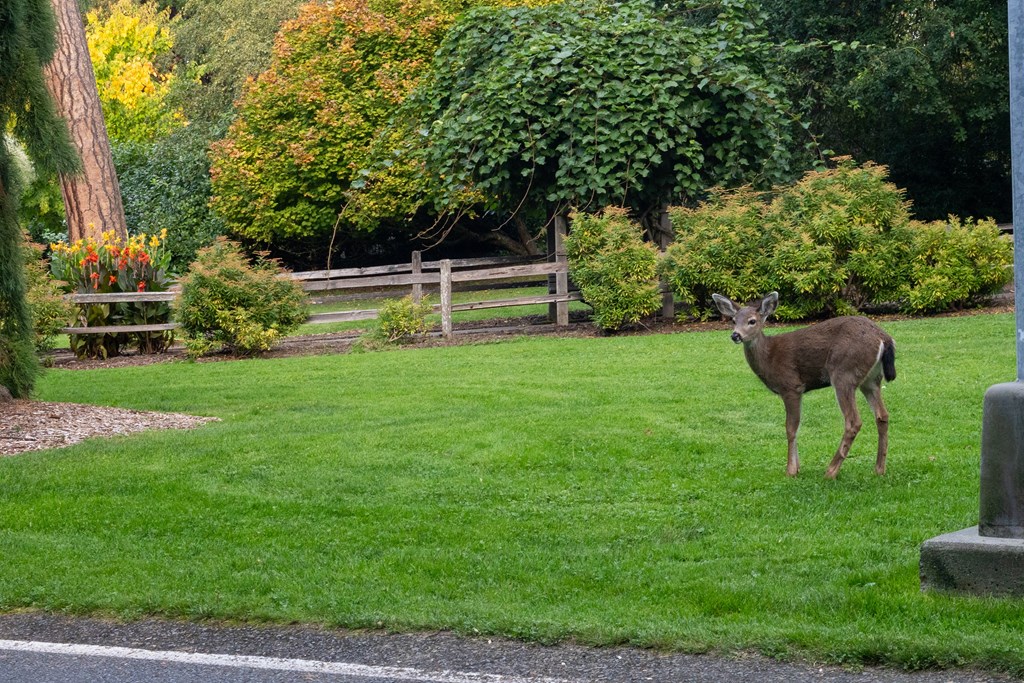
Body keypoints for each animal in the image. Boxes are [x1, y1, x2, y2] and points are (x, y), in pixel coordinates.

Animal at [711, 292, 896, 479]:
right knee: (882, 415)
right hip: (871, 379)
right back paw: (879, 469)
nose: (735, 335)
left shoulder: (791, 386)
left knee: (854, 421)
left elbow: (791, 428)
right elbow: (796, 426)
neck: (769, 357)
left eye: (752, 321)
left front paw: (791, 470)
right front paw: (797, 467)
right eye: (733, 320)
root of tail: (883, 338)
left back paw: (831, 471)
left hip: (844, 373)